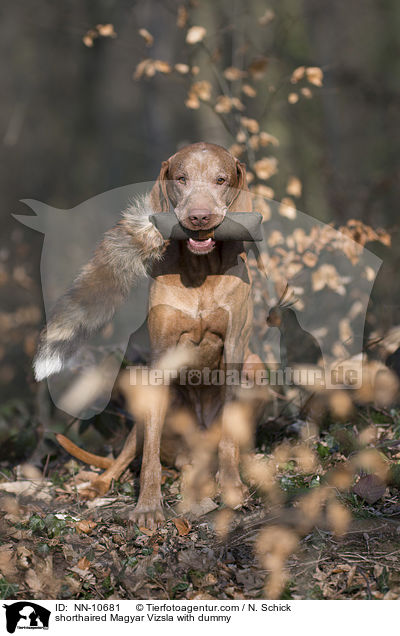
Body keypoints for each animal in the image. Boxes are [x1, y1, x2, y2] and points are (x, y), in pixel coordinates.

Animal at [35, 143, 262, 528]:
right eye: (181, 178)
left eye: (221, 179)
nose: (200, 217)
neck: (200, 271)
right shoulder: (160, 360)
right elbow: (150, 454)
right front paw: (148, 507)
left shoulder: (235, 349)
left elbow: (229, 439)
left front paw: (232, 487)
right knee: (124, 457)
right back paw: (98, 485)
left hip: (255, 372)